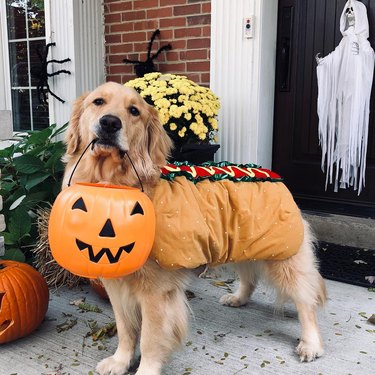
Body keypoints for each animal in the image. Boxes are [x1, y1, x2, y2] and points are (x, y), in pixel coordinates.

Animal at [63, 82, 328, 375]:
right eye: (98, 102)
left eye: (134, 111)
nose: (110, 123)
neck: (115, 185)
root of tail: (274, 176)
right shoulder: (118, 287)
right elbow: (126, 330)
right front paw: (120, 361)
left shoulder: (156, 292)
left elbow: (149, 340)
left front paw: (145, 369)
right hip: (242, 244)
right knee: (250, 277)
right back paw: (238, 298)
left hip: (285, 256)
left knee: (306, 300)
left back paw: (311, 343)